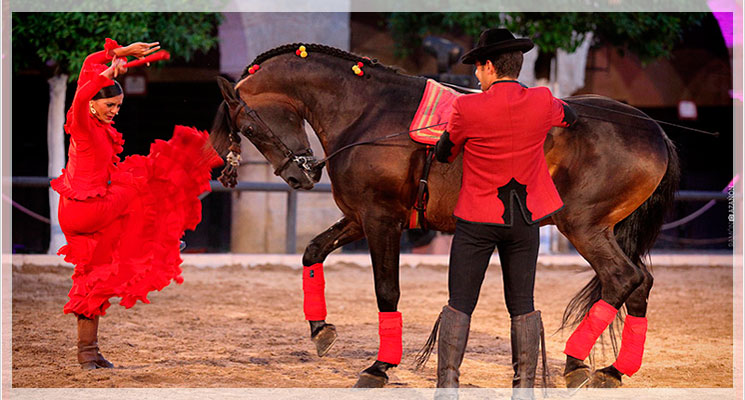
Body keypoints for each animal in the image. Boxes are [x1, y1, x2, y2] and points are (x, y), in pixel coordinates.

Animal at [210, 43, 679, 388]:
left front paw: (379, 367)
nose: (301, 174)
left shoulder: (382, 220)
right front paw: (319, 329)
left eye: (248, 128)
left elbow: (387, 291)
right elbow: (312, 252)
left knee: (622, 278)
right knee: (641, 284)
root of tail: (654, 130)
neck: (368, 111)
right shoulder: (360, 217)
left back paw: (577, 362)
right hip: (604, 229)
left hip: (582, 226)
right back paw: (613, 370)